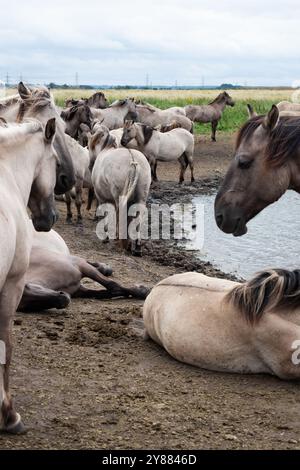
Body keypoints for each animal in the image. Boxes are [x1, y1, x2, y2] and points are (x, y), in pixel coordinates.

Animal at [18, 224, 149, 312]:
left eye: (27, 286)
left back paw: (105, 268)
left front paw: (142, 291)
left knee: (92, 263)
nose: (64, 299)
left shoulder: (80, 266)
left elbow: (112, 284)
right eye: (25, 306)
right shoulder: (79, 289)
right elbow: (108, 292)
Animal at [88, 123, 151, 255]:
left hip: (119, 197)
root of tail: (133, 161)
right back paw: (137, 247)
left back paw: (122, 241)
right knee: (138, 217)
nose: (90, 165)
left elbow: (106, 215)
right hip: (140, 198)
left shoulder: (103, 199)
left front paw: (106, 237)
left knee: (121, 214)